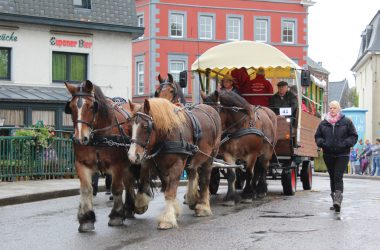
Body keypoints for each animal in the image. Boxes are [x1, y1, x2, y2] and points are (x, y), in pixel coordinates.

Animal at [63, 80, 141, 232]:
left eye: (91, 106)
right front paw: (86, 219)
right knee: (129, 182)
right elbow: (86, 189)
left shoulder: (117, 165)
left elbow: (116, 188)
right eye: (71, 107)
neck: (98, 137)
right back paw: (129, 209)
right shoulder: (81, 164)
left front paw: (116, 216)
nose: (80, 138)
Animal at [128, 97, 223, 229]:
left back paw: (203, 207)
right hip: (192, 158)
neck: (167, 136)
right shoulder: (154, 164)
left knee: (204, 180)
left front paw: (168, 219)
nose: (132, 156)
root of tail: (210, 108)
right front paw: (141, 204)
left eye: (146, 126)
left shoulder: (177, 165)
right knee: (192, 173)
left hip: (209, 157)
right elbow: (145, 181)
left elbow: (169, 192)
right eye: (131, 126)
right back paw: (192, 199)